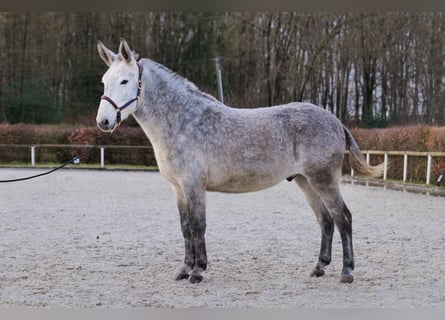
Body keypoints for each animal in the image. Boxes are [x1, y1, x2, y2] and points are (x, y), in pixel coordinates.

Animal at [96, 38, 382, 284]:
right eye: (104, 81)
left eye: (125, 81)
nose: (103, 122)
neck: (184, 122)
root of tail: (335, 121)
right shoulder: (178, 188)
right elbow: (185, 227)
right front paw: (184, 269)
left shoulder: (193, 186)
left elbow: (198, 226)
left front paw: (197, 272)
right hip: (306, 182)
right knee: (326, 221)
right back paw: (319, 268)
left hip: (324, 180)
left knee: (343, 218)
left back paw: (346, 272)